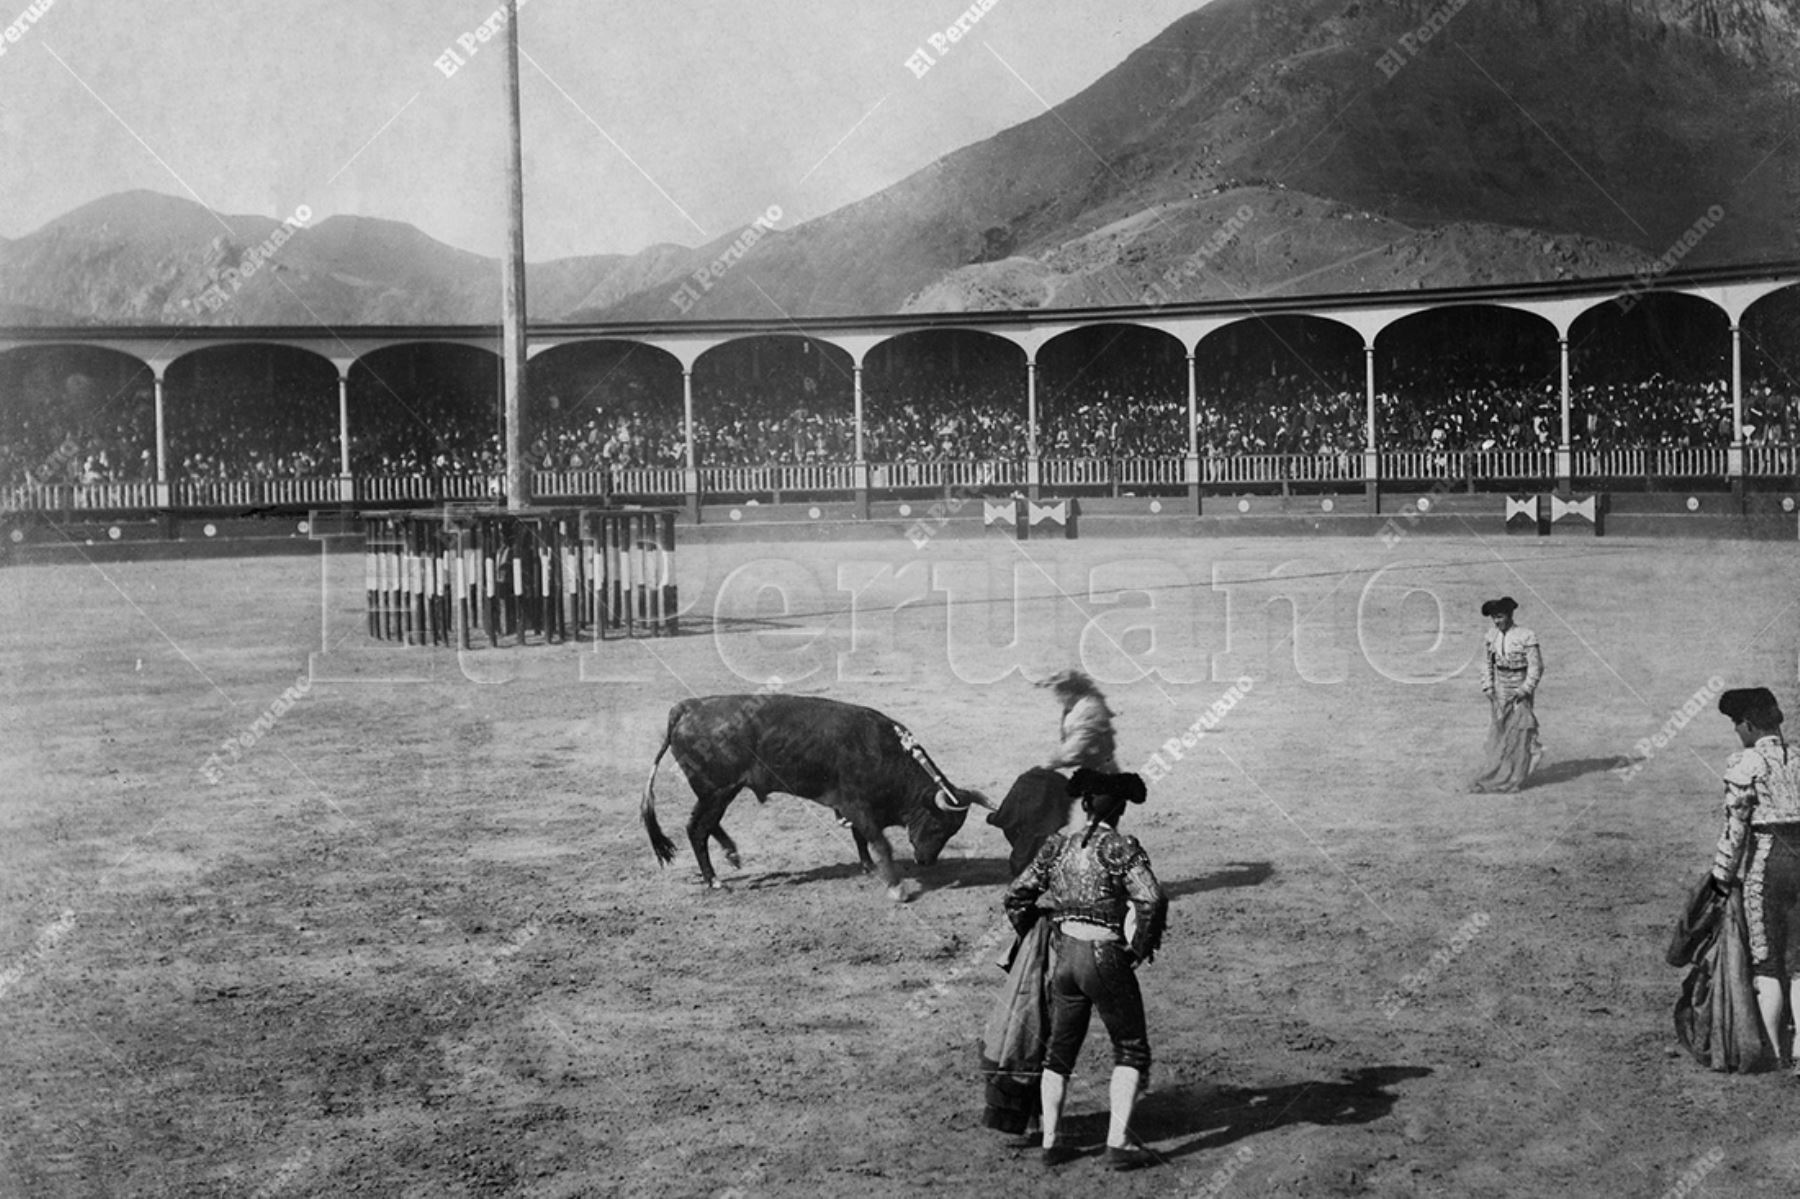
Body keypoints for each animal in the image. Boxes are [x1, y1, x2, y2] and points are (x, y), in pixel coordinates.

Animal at [637, 691, 1000, 896]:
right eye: (938, 825)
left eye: (952, 831)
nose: (925, 861)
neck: (884, 751)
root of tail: (688, 707)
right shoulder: (858, 805)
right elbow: (880, 842)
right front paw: (897, 887)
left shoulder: (853, 808)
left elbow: (861, 839)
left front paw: (868, 867)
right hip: (716, 791)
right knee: (697, 829)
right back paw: (714, 880)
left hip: (720, 792)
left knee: (706, 825)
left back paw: (731, 854)